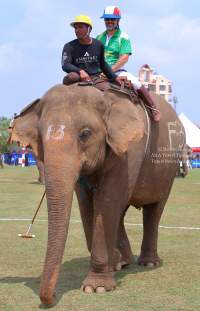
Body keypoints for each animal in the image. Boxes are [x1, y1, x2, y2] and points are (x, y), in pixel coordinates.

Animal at [7, 84, 185, 306]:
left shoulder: (130, 148)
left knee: (153, 211)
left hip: (169, 168)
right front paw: (114, 262)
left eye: (85, 134)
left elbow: (107, 199)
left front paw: (96, 287)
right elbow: (88, 205)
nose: (53, 297)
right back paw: (124, 261)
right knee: (121, 212)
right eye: (39, 136)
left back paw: (149, 263)